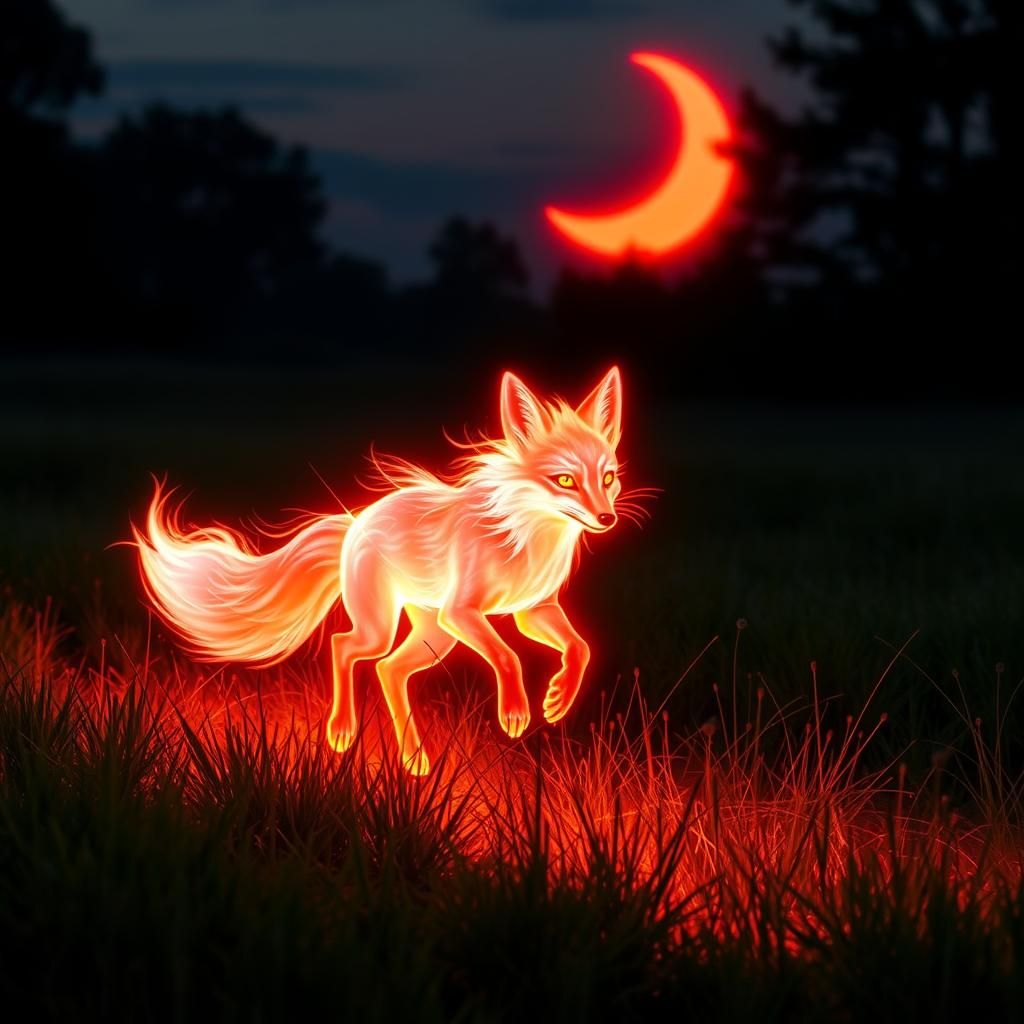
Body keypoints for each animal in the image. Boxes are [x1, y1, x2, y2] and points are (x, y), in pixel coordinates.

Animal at [134, 367, 642, 774]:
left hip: (435, 637)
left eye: (609, 478)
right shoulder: (462, 612)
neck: (524, 537)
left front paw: (557, 700)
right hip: (399, 627)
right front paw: (515, 711)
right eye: (564, 480)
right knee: (345, 648)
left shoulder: (532, 611)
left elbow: (581, 649)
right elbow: (508, 657)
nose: (607, 519)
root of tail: (355, 521)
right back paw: (342, 732)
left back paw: (414, 760)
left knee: (389, 671)